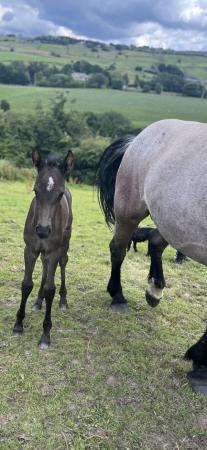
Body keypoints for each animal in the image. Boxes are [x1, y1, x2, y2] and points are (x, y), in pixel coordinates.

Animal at [12, 149, 74, 350]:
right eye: (35, 191)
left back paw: (63, 300)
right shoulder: (30, 249)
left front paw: (46, 334)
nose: (43, 230)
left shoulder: (53, 251)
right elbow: (26, 284)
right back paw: (38, 301)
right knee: (45, 265)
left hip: (64, 242)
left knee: (63, 262)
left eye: (59, 194)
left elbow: (50, 289)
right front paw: (18, 325)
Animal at [98, 120, 207, 394]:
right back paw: (118, 296)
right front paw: (201, 362)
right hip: (129, 210)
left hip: (170, 221)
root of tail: (139, 137)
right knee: (118, 249)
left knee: (156, 243)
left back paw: (154, 289)